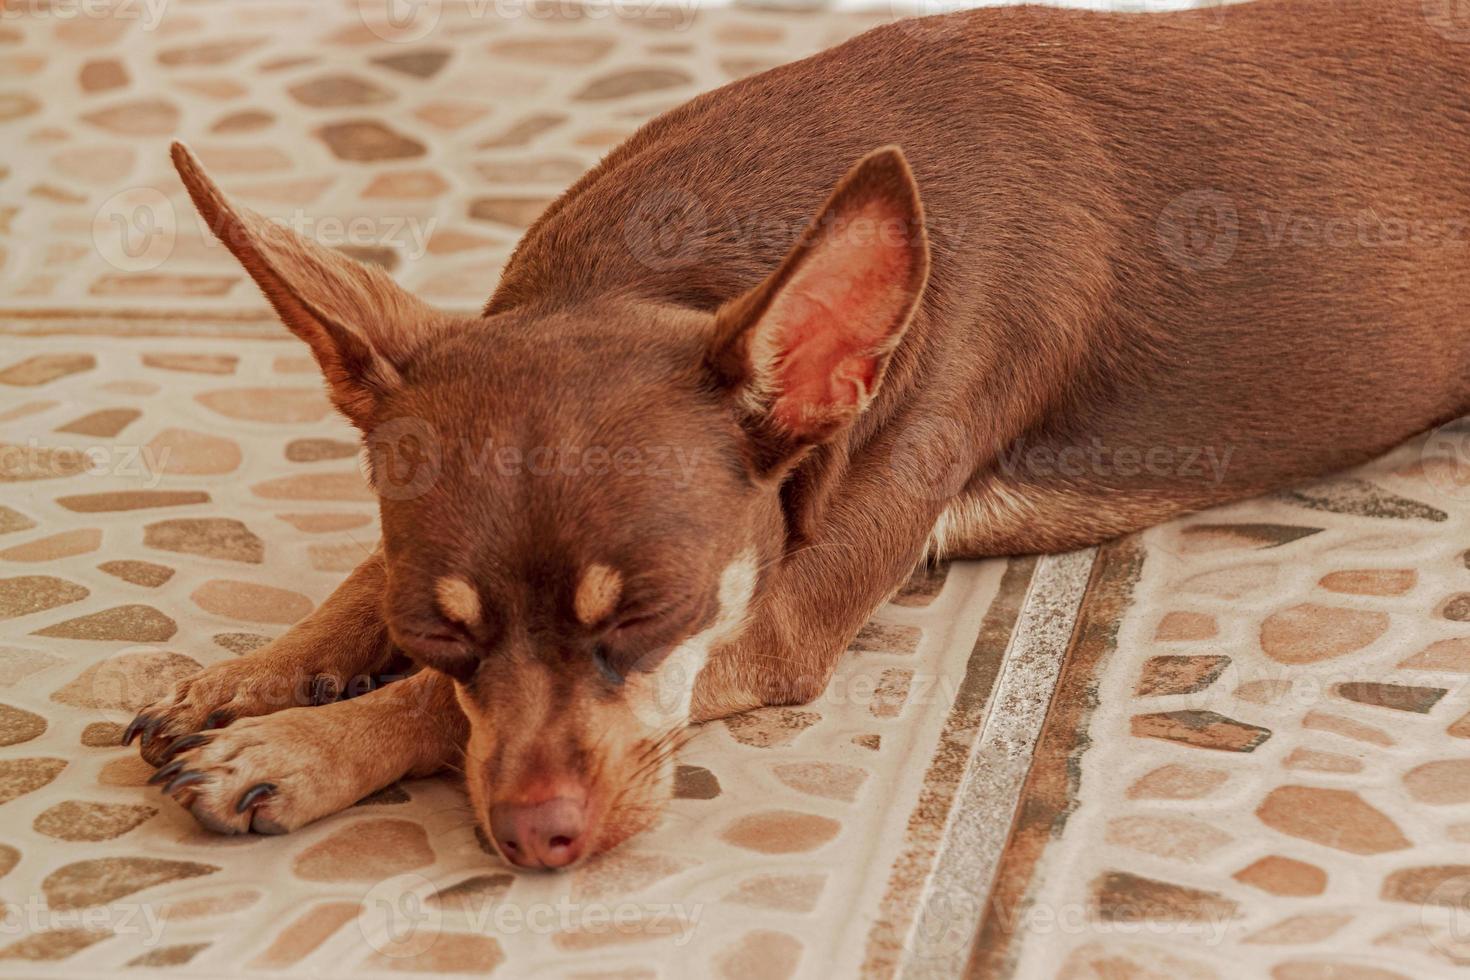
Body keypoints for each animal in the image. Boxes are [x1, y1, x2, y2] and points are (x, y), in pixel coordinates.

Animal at [123, 0, 1470, 875]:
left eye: (649, 615)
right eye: (436, 630)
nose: (538, 838)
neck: (661, 268)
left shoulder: (775, 622)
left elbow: (434, 718)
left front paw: (299, 744)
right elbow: (369, 588)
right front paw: (260, 672)